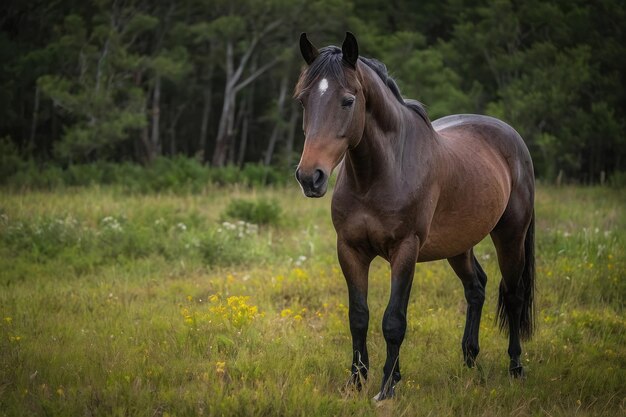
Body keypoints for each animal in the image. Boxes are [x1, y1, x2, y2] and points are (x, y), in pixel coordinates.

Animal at [292, 33, 532, 400]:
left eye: (348, 101)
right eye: (303, 101)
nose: (310, 177)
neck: (379, 174)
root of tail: (511, 136)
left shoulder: (405, 249)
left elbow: (394, 320)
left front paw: (386, 388)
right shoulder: (350, 249)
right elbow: (358, 316)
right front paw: (357, 381)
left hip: (511, 235)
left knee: (514, 295)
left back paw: (515, 367)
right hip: (458, 246)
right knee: (476, 288)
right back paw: (469, 360)